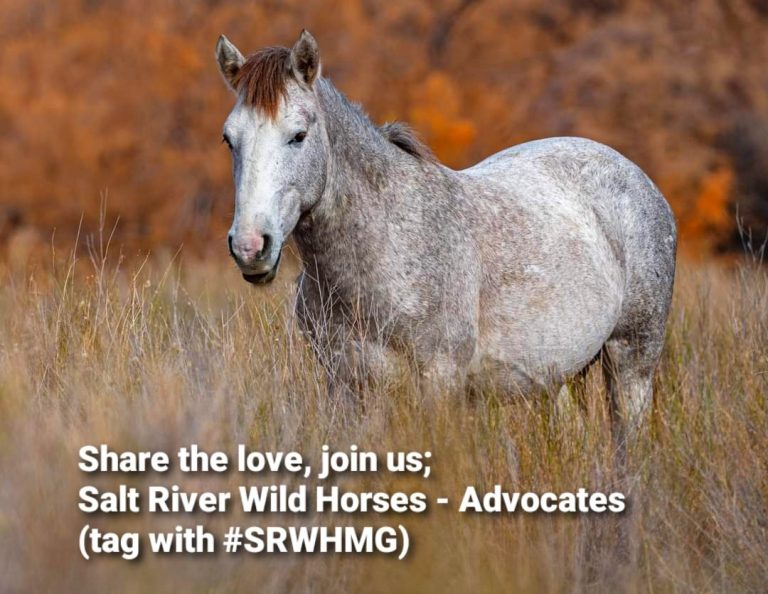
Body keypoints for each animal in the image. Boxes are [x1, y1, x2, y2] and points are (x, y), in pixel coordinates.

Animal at [215, 30, 677, 458]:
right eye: (228, 139)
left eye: (298, 135)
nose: (250, 246)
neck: (387, 245)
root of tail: (635, 175)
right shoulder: (346, 385)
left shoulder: (437, 383)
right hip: (559, 373)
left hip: (632, 361)